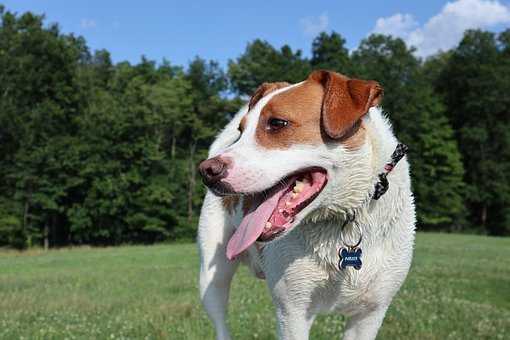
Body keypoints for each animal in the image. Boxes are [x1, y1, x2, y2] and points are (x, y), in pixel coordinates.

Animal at [195, 69, 414, 340]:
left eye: (277, 123)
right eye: (241, 130)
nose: (206, 171)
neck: (342, 217)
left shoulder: (370, 313)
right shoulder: (293, 311)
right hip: (212, 278)